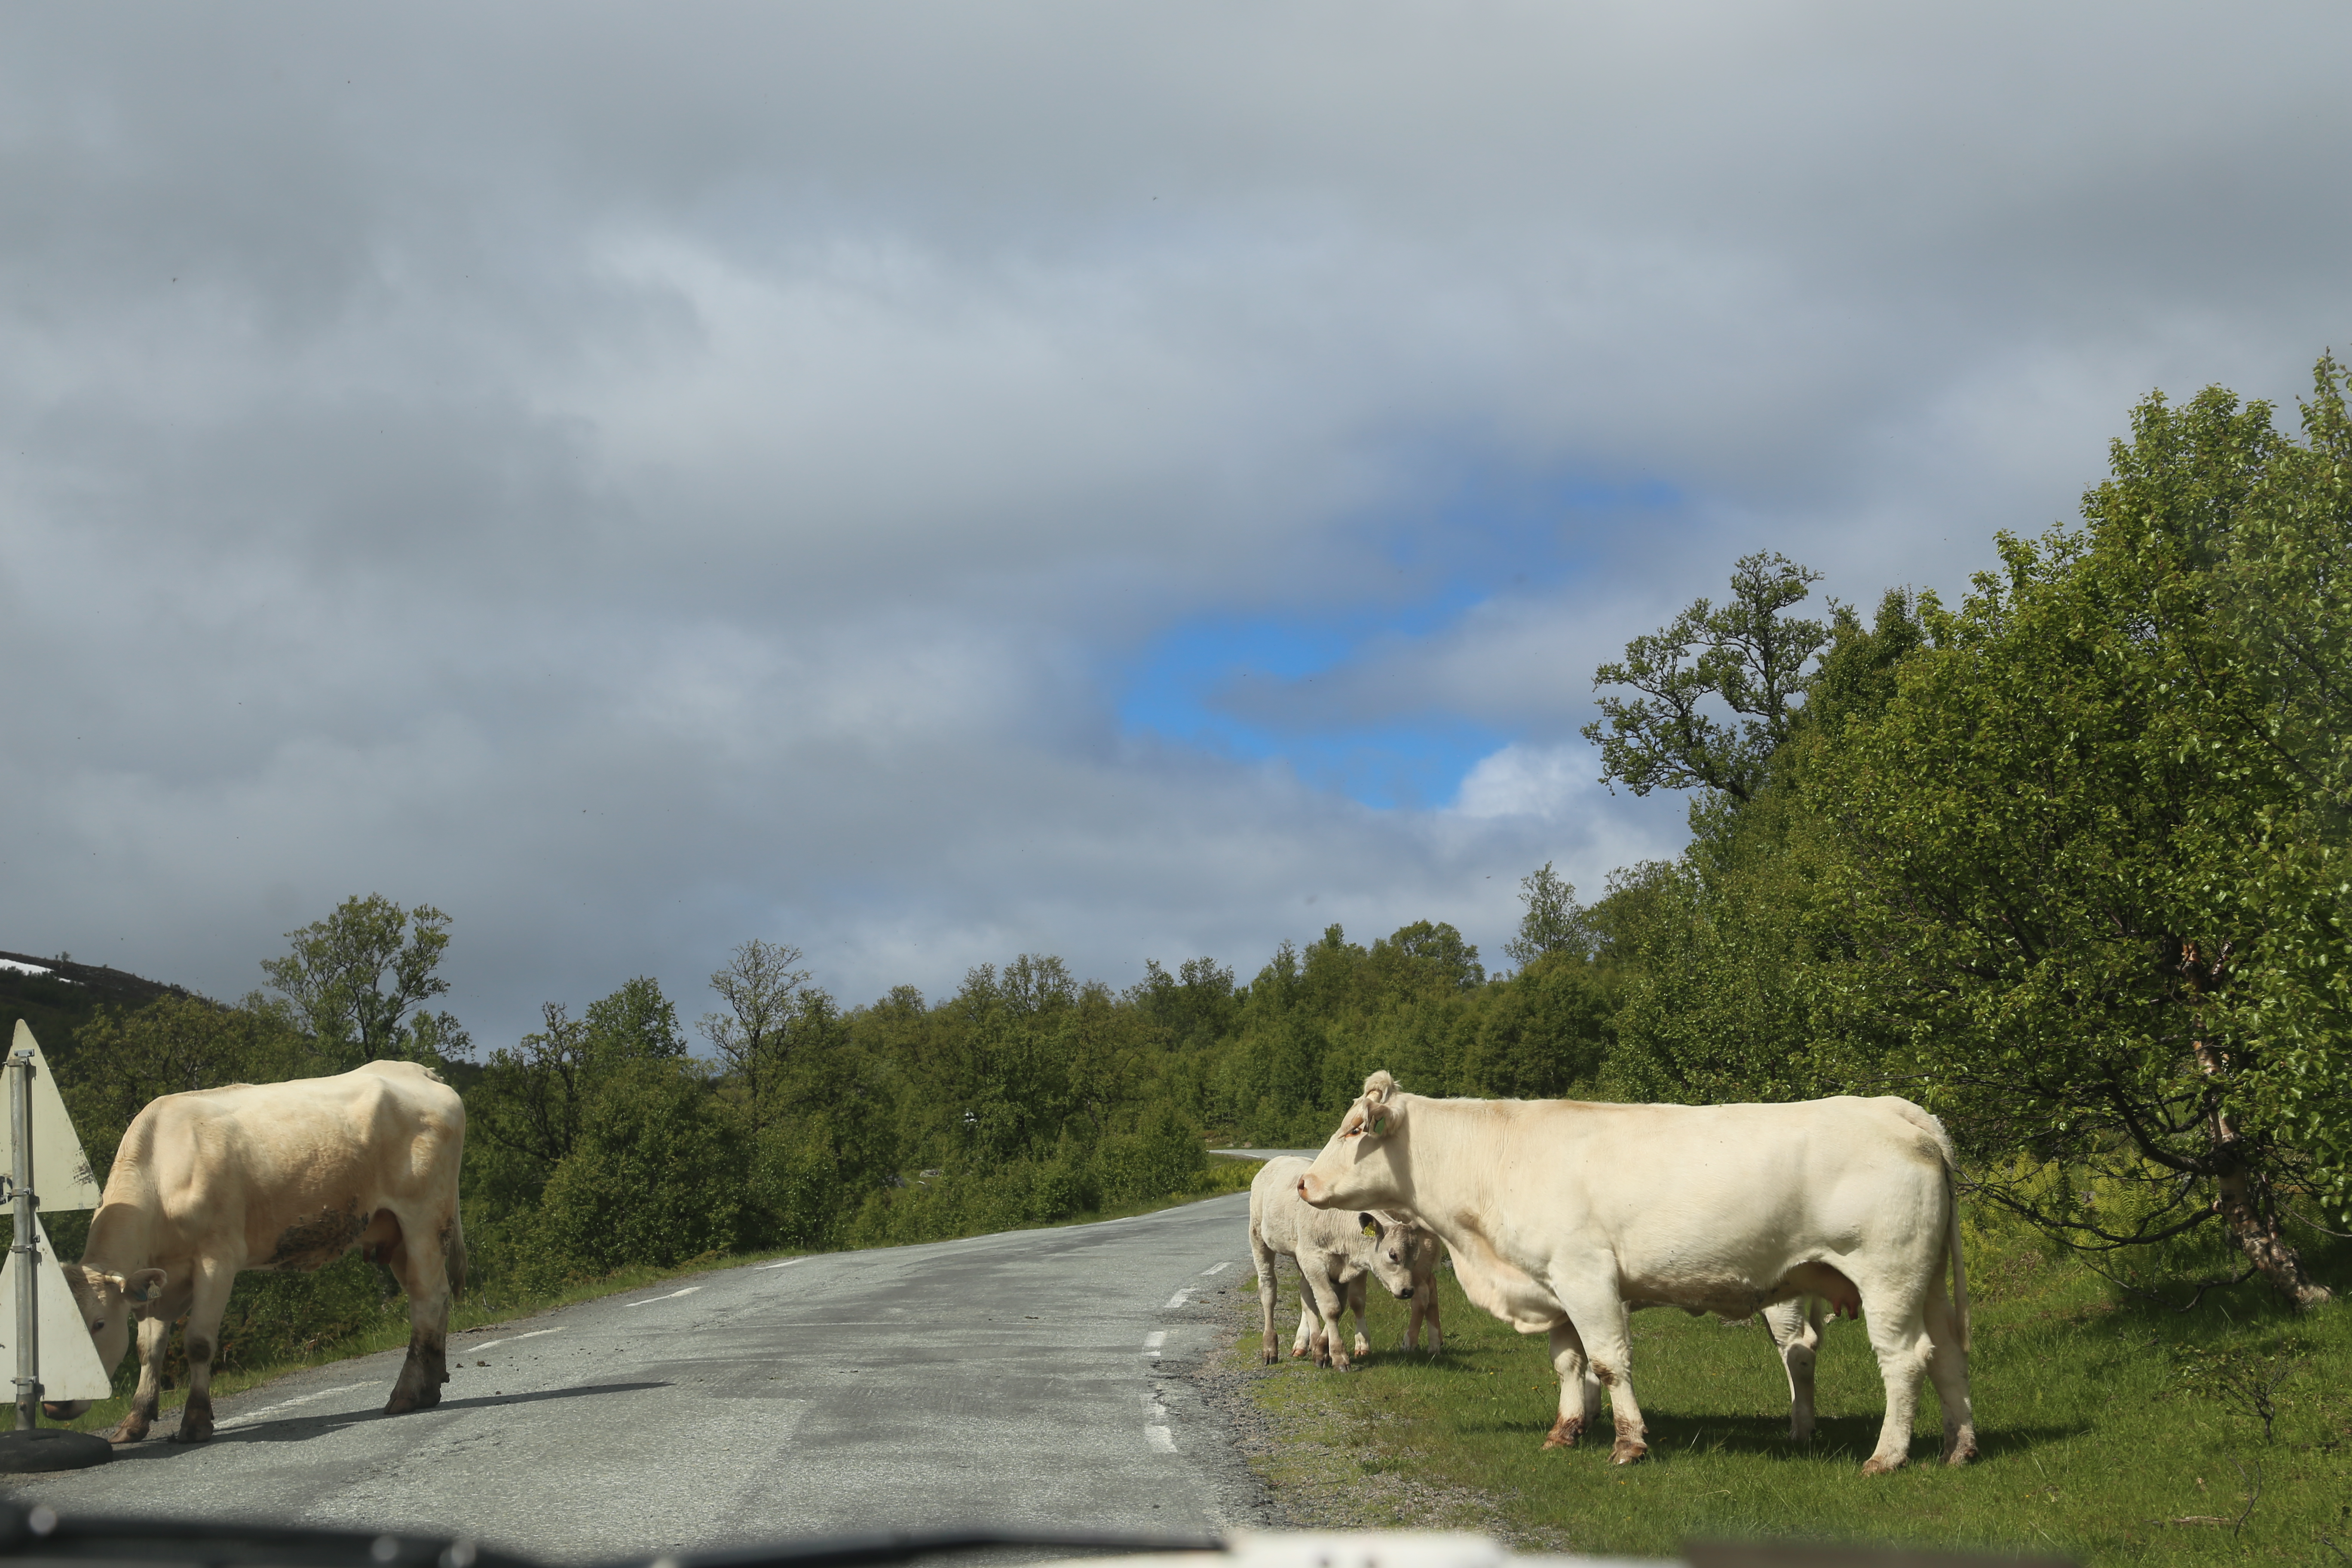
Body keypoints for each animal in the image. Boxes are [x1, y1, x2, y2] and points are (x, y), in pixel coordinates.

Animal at [53, 1063, 463, 1439]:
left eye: (98, 1324)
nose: (58, 1404)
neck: (160, 1176)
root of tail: (416, 1070)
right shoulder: (158, 1279)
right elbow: (148, 1349)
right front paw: (135, 1421)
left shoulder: (218, 1258)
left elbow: (198, 1343)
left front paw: (196, 1421)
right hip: (392, 1231)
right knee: (434, 1296)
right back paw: (429, 1387)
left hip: (424, 1215)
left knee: (427, 1297)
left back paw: (407, 1393)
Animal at [1260, 1161, 1421, 1363]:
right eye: (1393, 1255)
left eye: (1416, 1257)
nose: (1408, 1291)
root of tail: (1281, 1159)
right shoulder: (1315, 1264)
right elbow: (1331, 1306)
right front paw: (1338, 1355)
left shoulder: (1351, 1267)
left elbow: (1349, 1303)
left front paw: (1326, 1348)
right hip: (1258, 1237)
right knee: (1269, 1290)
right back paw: (1270, 1348)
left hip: (1300, 1257)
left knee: (1306, 1296)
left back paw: (1306, 1343)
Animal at [1298, 1067, 1975, 1476]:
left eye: (1354, 1130)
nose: (1304, 1182)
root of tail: (1894, 1109)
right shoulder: (1551, 1285)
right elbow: (1568, 1363)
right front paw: (1565, 1431)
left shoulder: (1586, 1276)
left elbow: (1607, 1361)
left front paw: (1628, 1444)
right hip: (1927, 1283)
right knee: (1947, 1354)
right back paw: (1958, 1448)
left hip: (1887, 1274)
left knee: (1905, 1360)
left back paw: (1887, 1457)